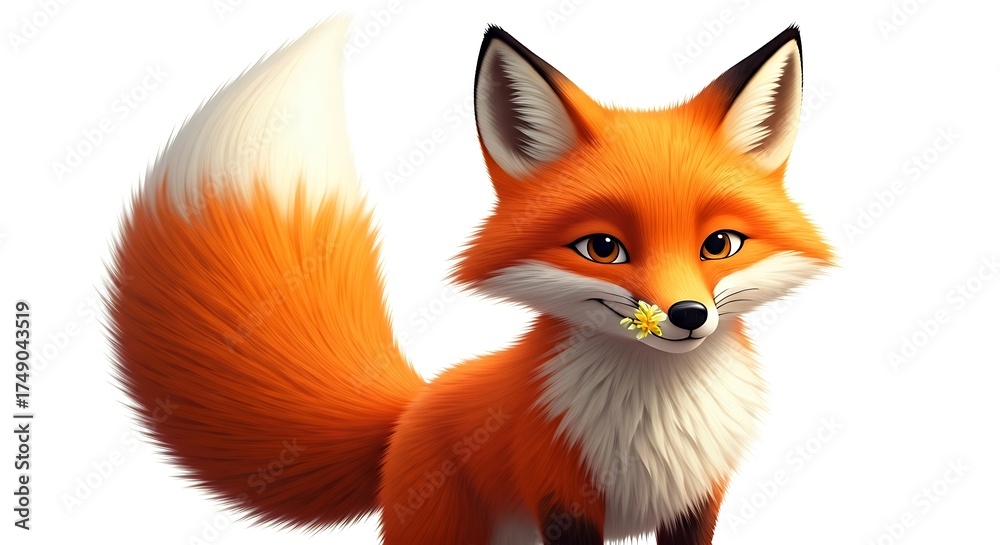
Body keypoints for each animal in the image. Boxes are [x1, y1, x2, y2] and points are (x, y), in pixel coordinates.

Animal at [106, 15, 832, 545]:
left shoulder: (697, 500)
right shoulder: (562, 497)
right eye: (602, 247)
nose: (687, 315)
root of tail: (412, 408)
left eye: (720, 245)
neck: (653, 413)